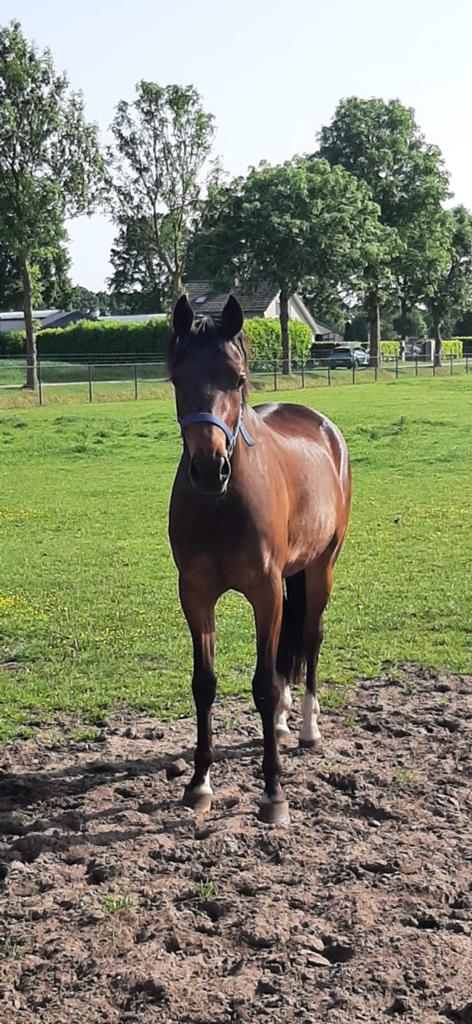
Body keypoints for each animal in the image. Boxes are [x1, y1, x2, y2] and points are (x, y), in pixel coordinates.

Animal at [168, 293, 351, 826]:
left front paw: (273, 793)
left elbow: (264, 685)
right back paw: (287, 722)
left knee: (310, 635)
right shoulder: (196, 595)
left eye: (237, 378)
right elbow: (204, 684)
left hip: (321, 568)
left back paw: (307, 727)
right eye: (178, 378)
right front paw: (200, 782)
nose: (209, 468)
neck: (223, 504)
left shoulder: (265, 594)